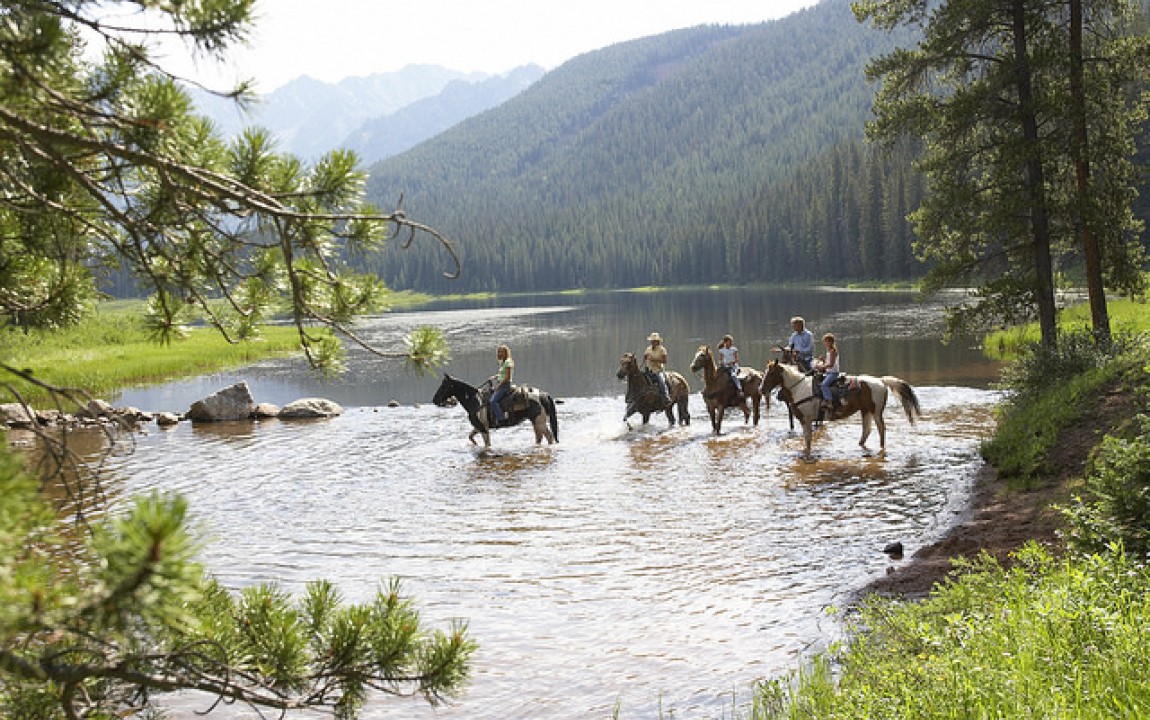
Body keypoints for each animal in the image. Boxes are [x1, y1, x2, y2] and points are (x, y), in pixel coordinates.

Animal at [761, 359, 922, 459]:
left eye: (771, 373)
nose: (762, 389)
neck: (799, 388)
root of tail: (881, 381)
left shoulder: (806, 420)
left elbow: (807, 440)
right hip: (866, 411)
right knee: (866, 430)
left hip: (876, 412)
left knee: (881, 429)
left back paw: (881, 448)